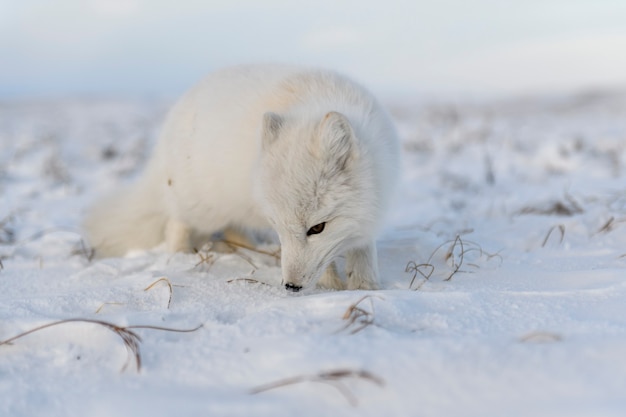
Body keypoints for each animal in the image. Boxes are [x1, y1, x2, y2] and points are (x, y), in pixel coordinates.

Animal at [83, 65, 398, 290]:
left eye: (317, 228)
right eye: (277, 225)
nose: (291, 286)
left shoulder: (371, 209)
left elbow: (362, 251)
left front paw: (366, 287)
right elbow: (329, 264)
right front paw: (332, 288)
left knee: (233, 228)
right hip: (199, 204)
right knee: (176, 223)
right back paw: (181, 256)